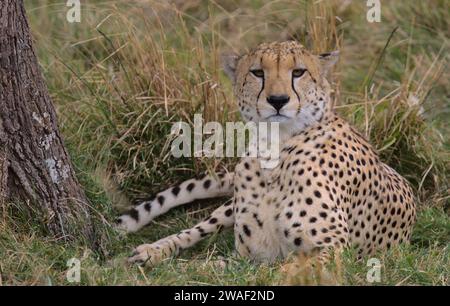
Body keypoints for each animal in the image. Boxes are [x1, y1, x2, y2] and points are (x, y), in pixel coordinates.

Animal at [118, 40, 416, 266]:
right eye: (258, 73)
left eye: (298, 72)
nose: (278, 100)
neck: (274, 146)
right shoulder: (251, 254)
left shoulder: (332, 247)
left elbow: (289, 270)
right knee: (197, 229)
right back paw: (153, 250)